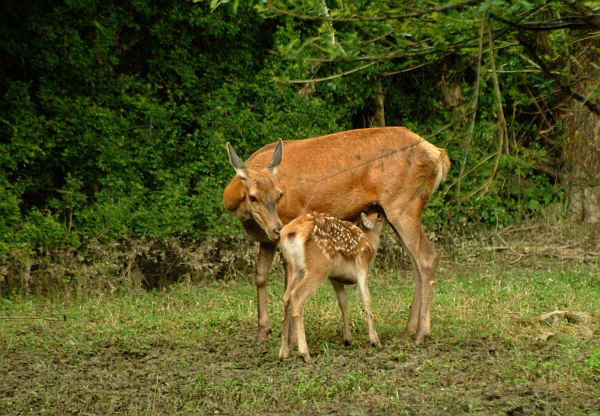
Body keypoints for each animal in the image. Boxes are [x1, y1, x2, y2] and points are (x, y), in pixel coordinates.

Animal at [225, 126, 450, 344]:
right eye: (253, 197)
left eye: (279, 194)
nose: (278, 228)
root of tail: (438, 154)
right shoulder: (266, 240)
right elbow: (260, 276)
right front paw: (262, 333)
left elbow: (287, 282)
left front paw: (290, 339)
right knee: (416, 264)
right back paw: (408, 330)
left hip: (404, 205)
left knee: (427, 258)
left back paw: (421, 334)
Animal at [278, 210, 386, 362]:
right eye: (378, 216)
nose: (384, 213)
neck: (369, 240)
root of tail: (291, 232)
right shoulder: (361, 266)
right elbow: (366, 299)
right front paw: (375, 340)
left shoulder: (335, 277)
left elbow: (343, 301)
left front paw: (347, 339)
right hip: (320, 265)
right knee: (297, 295)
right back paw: (304, 353)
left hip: (294, 268)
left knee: (287, 298)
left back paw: (283, 352)